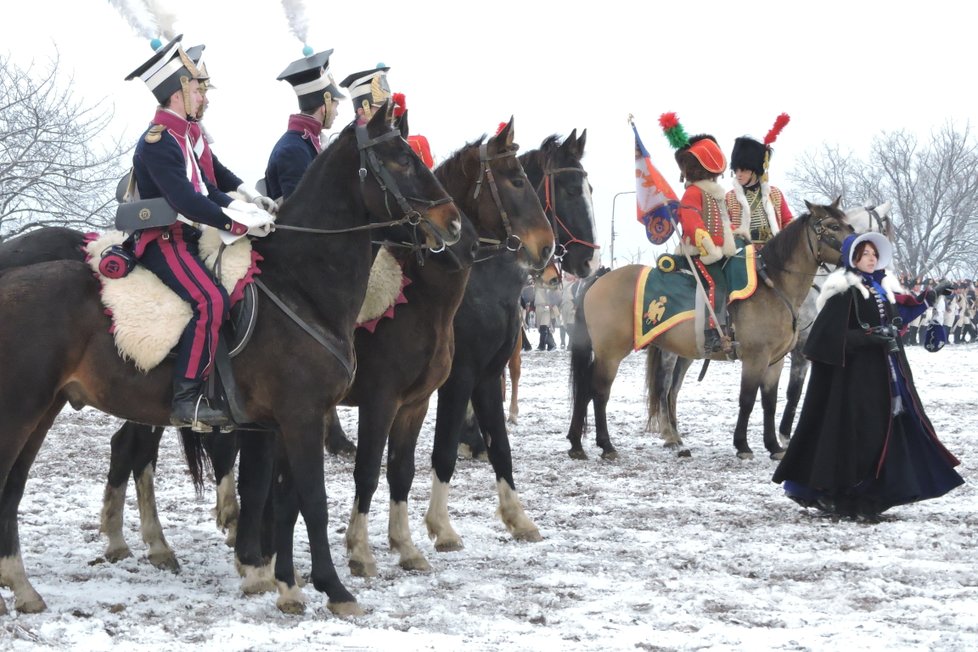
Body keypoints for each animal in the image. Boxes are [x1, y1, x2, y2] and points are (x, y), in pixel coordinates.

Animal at [0, 105, 462, 616]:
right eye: (401, 158)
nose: (454, 223)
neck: (301, 286)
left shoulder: (279, 424)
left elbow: (281, 499)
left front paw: (284, 583)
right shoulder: (305, 416)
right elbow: (312, 501)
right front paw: (334, 589)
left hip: (44, 410)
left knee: (16, 487)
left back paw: (24, 585)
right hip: (20, 411)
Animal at [568, 201, 852, 460]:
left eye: (848, 224)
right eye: (833, 226)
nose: (856, 250)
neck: (772, 285)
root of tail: (598, 279)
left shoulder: (775, 361)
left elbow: (770, 402)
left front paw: (773, 446)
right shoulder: (756, 358)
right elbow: (747, 399)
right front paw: (743, 445)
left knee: (589, 388)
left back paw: (577, 444)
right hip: (612, 353)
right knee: (601, 391)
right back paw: (607, 445)